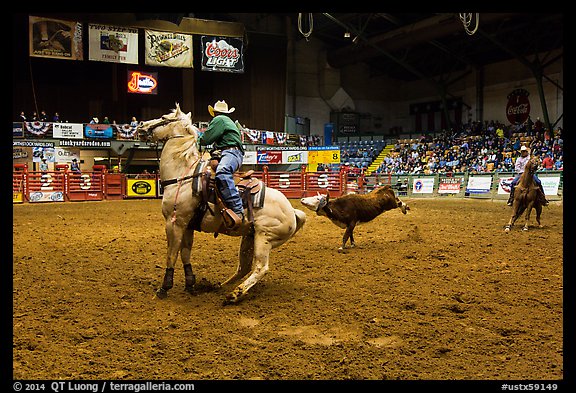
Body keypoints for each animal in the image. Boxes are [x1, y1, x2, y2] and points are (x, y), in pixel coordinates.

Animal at [136, 104, 306, 304]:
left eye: (163, 117)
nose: (141, 125)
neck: (183, 175)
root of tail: (292, 211)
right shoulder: (187, 225)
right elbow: (185, 254)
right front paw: (190, 285)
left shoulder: (174, 222)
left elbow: (171, 254)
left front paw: (164, 288)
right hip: (249, 238)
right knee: (243, 267)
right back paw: (220, 286)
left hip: (264, 238)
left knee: (260, 268)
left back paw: (234, 294)